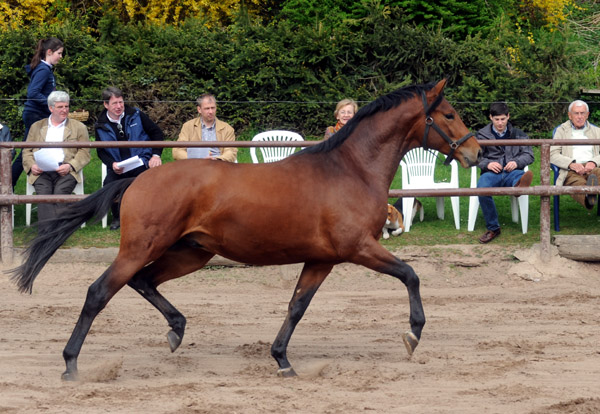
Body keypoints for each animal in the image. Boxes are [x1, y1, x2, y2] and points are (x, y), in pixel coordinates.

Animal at [10, 79, 482, 380]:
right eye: (450, 114)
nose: (476, 152)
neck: (350, 169)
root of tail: (139, 177)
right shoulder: (359, 248)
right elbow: (411, 274)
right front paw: (412, 335)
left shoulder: (321, 259)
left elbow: (296, 306)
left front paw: (282, 360)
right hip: (143, 246)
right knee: (99, 292)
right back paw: (71, 364)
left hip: (191, 252)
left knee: (144, 282)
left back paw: (176, 331)